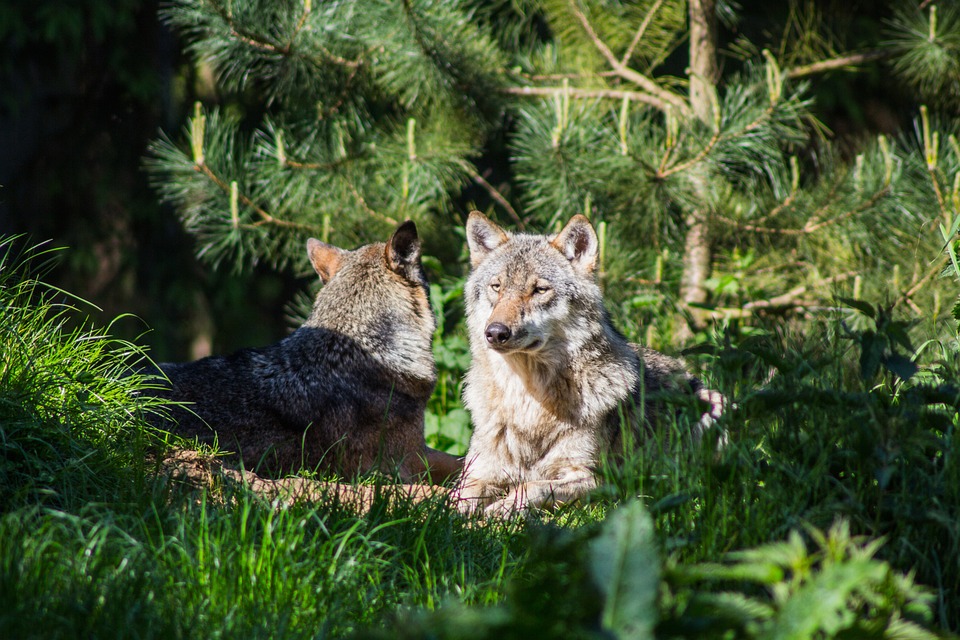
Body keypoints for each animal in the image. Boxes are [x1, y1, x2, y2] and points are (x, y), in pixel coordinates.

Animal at [456, 210, 720, 516]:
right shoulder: (480, 471)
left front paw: (501, 509)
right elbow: (457, 496)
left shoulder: (599, 481)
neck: (528, 402)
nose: (496, 332)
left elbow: (532, 486)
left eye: (540, 290)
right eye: (496, 287)